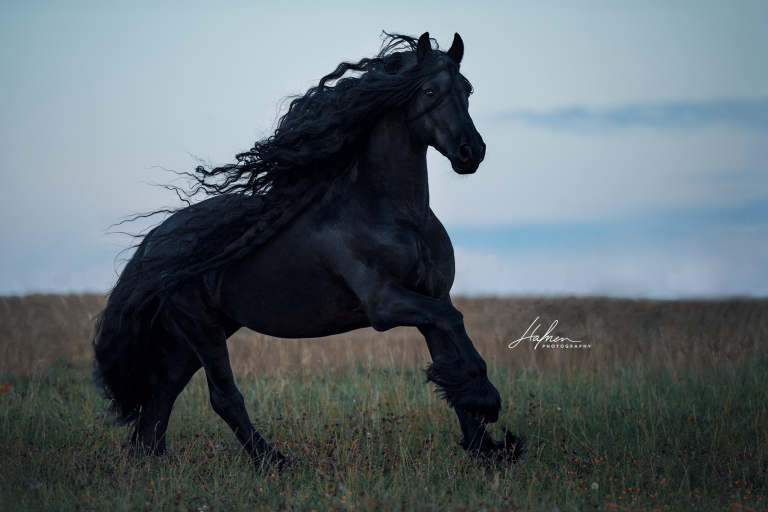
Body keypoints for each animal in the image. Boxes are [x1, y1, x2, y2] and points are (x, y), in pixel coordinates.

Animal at [92, 32, 524, 472]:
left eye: (467, 89)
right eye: (430, 90)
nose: (471, 152)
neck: (395, 214)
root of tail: (153, 242)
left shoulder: (431, 298)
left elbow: (451, 349)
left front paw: (485, 446)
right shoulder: (384, 304)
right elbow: (457, 328)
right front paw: (488, 404)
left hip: (194, 335)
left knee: (163, 393)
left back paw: (151, 461)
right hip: (201, 328)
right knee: (223, 398)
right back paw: (274, 462)